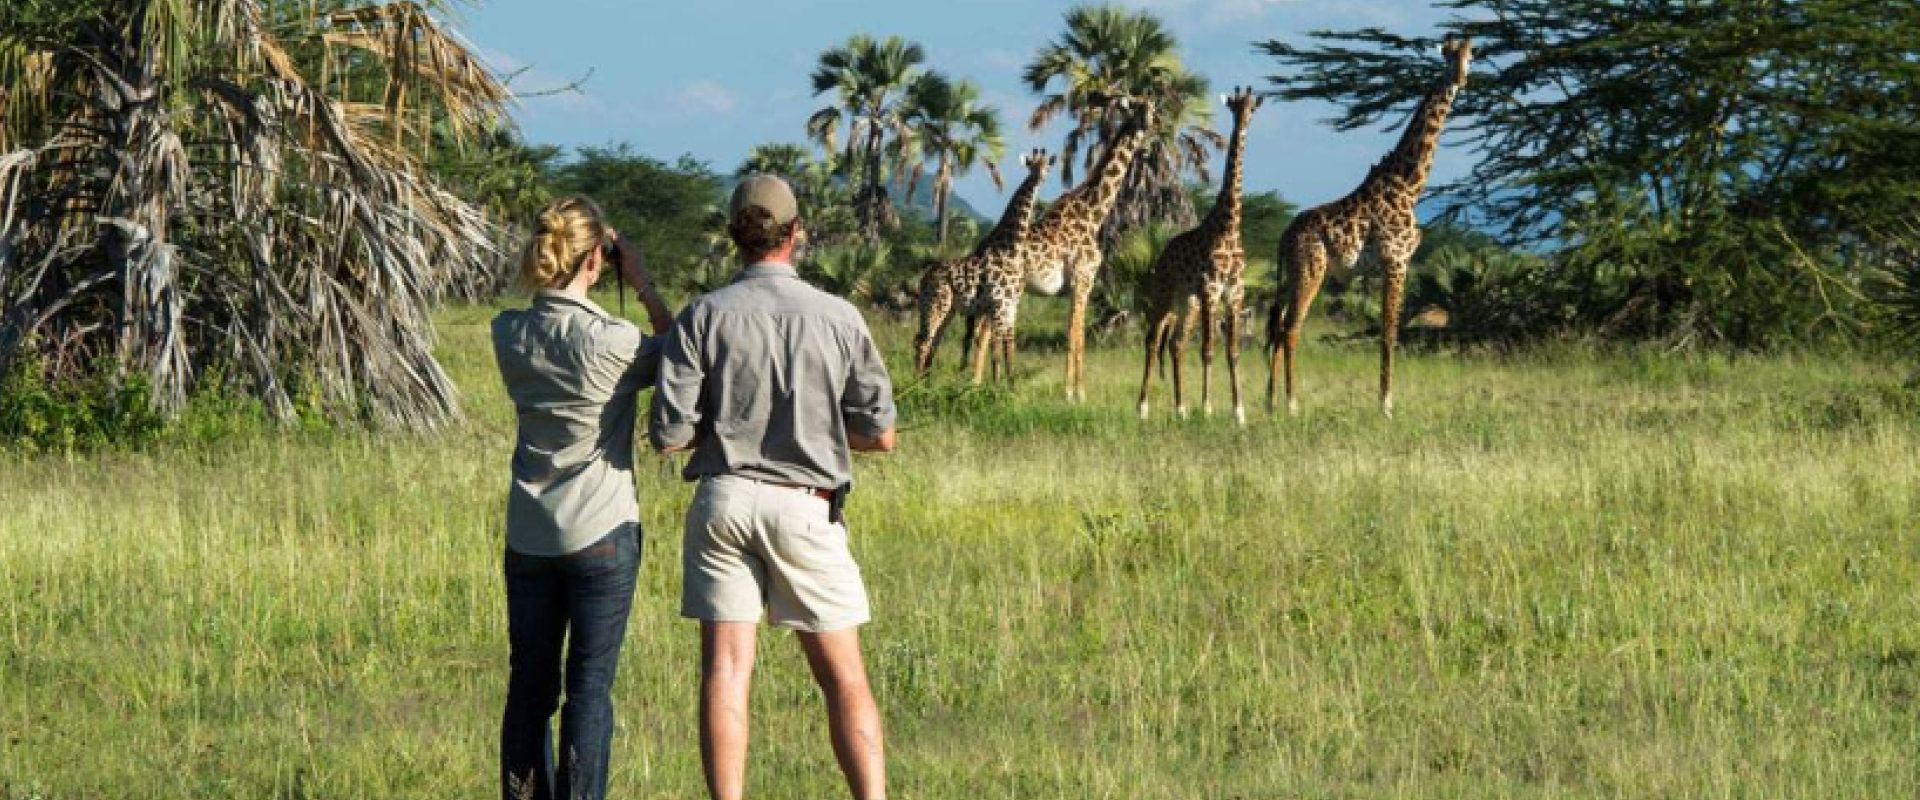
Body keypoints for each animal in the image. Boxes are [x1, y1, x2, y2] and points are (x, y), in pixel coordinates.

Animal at [912, 149, 1055, 376]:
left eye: (1047, 166)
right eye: (1032, 166)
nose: (1040, 177)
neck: (1010, 245)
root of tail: (924, 279)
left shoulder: (1009, 306)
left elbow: (1007, 349)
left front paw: (1009, 383)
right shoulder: (999, 305)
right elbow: (996, 349)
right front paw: (996, 385)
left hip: (946, 309)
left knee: (932, 340)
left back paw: (926, 380)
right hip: (937, 304)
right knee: (923, 341)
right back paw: (917, 383)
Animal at [969, 100, 1156, 398]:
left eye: (1152, 108)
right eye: (1140, 109)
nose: (1152, 127)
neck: (1093, 212)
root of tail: (981, 247)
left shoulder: (1077, 287)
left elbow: (1075, 334)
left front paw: (1073, 391)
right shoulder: (1083, 281)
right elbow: (1076, 336)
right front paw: (1075, 393)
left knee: (982, 331)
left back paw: (975, 384)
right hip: (1004, 292)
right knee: (985, 330)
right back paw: (977, 385)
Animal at [1136, 87, 1262, 425]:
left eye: (1252, 108)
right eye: (1234, 107)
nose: (1242, 125)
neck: (1228, 226)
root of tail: (1161, 257)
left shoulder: (1234, 292)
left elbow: (1232, 351)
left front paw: (1239, 413)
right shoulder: (1210, 289)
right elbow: (1207, 349)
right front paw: (1206, 408)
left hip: (1187, 301)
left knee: (1176, 343)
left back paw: (1180, 409)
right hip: (1164, 293)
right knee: (1152, 340)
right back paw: (1142, 409)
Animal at [1266, 36, 1472, 418]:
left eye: (1472, 54)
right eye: (1449, 55)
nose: (1460, 78)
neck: (1409, 184)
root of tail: (1284, 238)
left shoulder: (1382, 268)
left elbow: (1385, 330)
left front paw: (1384, 401)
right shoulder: (1397, 260)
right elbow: (1389, 332)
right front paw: (1386, 406)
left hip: (1291, 275)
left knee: (1275, 325)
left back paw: (1270, 402)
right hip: (1311, 270)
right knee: (1290, 329)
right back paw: (1292, 405)